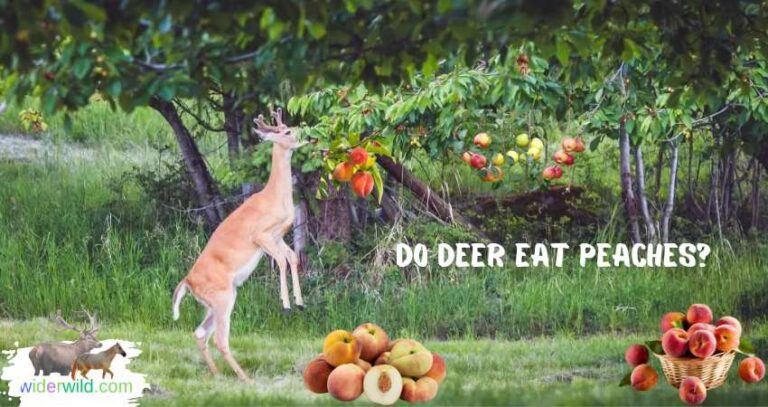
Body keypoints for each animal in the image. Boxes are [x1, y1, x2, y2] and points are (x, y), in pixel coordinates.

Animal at [171, 108, 305, 381]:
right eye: (287, 131)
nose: (305, 134)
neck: (275, 197)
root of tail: (187, 282)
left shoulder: (278, 236)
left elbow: (292, 257)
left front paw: (299, 302)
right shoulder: (261, 236)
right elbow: (282, 260)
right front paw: (286, 303)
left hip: (220, 299)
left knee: (200, 333)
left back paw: (218, 375)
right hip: (222, 297)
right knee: (220, 339)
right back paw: (244, 378)